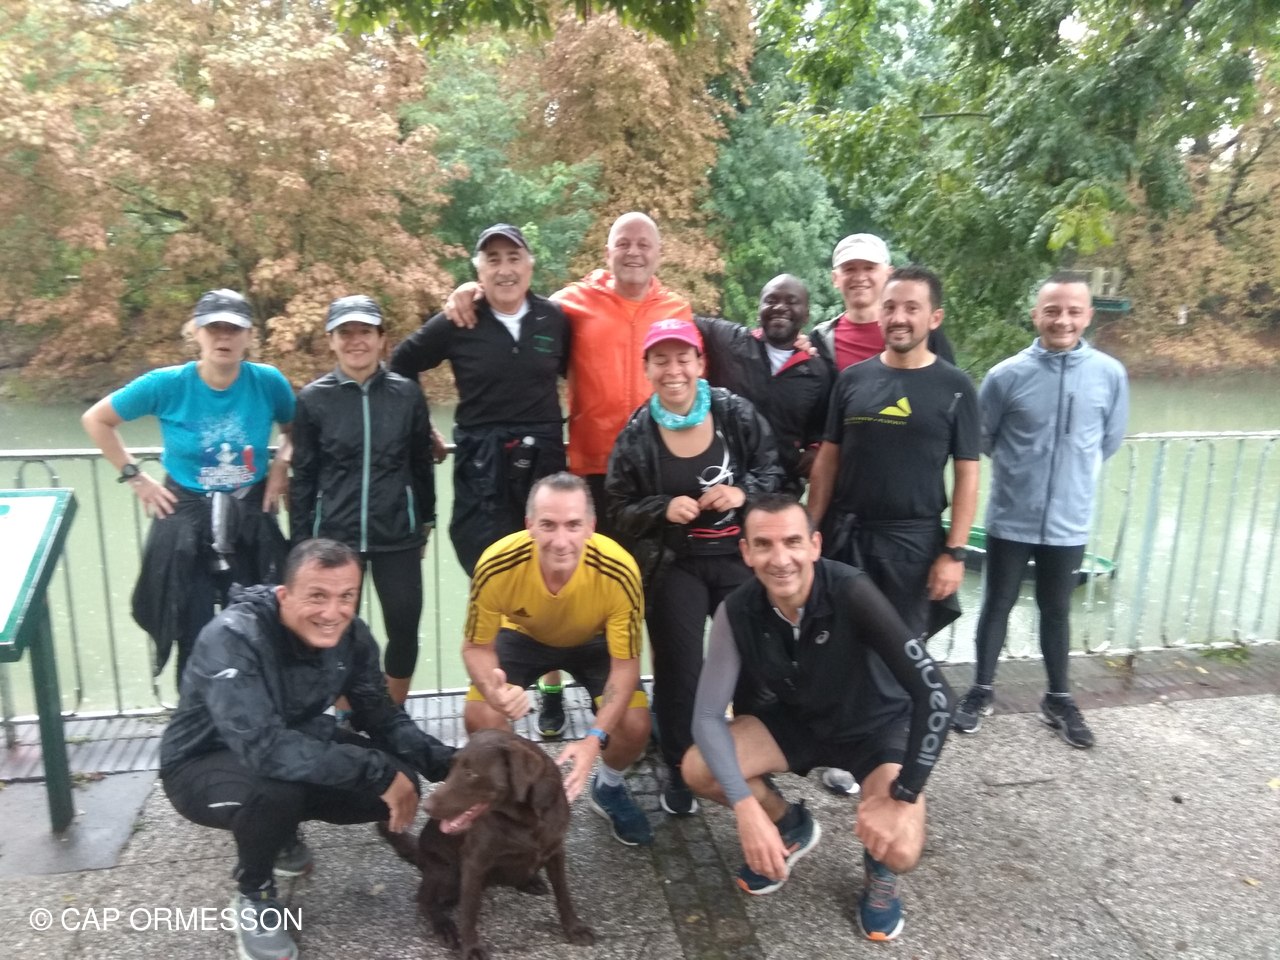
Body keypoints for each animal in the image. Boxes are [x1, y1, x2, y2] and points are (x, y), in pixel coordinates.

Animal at [381, 729, 594, 960]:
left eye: (470, 774)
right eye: (452, 767)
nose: (425, 807)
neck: (526, 819)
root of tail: (421, 853)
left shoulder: (555, 850)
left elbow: (563, 894)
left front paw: (574, 928)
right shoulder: (474, 862)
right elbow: (468, 911)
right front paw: (471, 949)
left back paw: (530, 881)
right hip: (446, 872)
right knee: (425, 900)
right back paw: (444, 926)